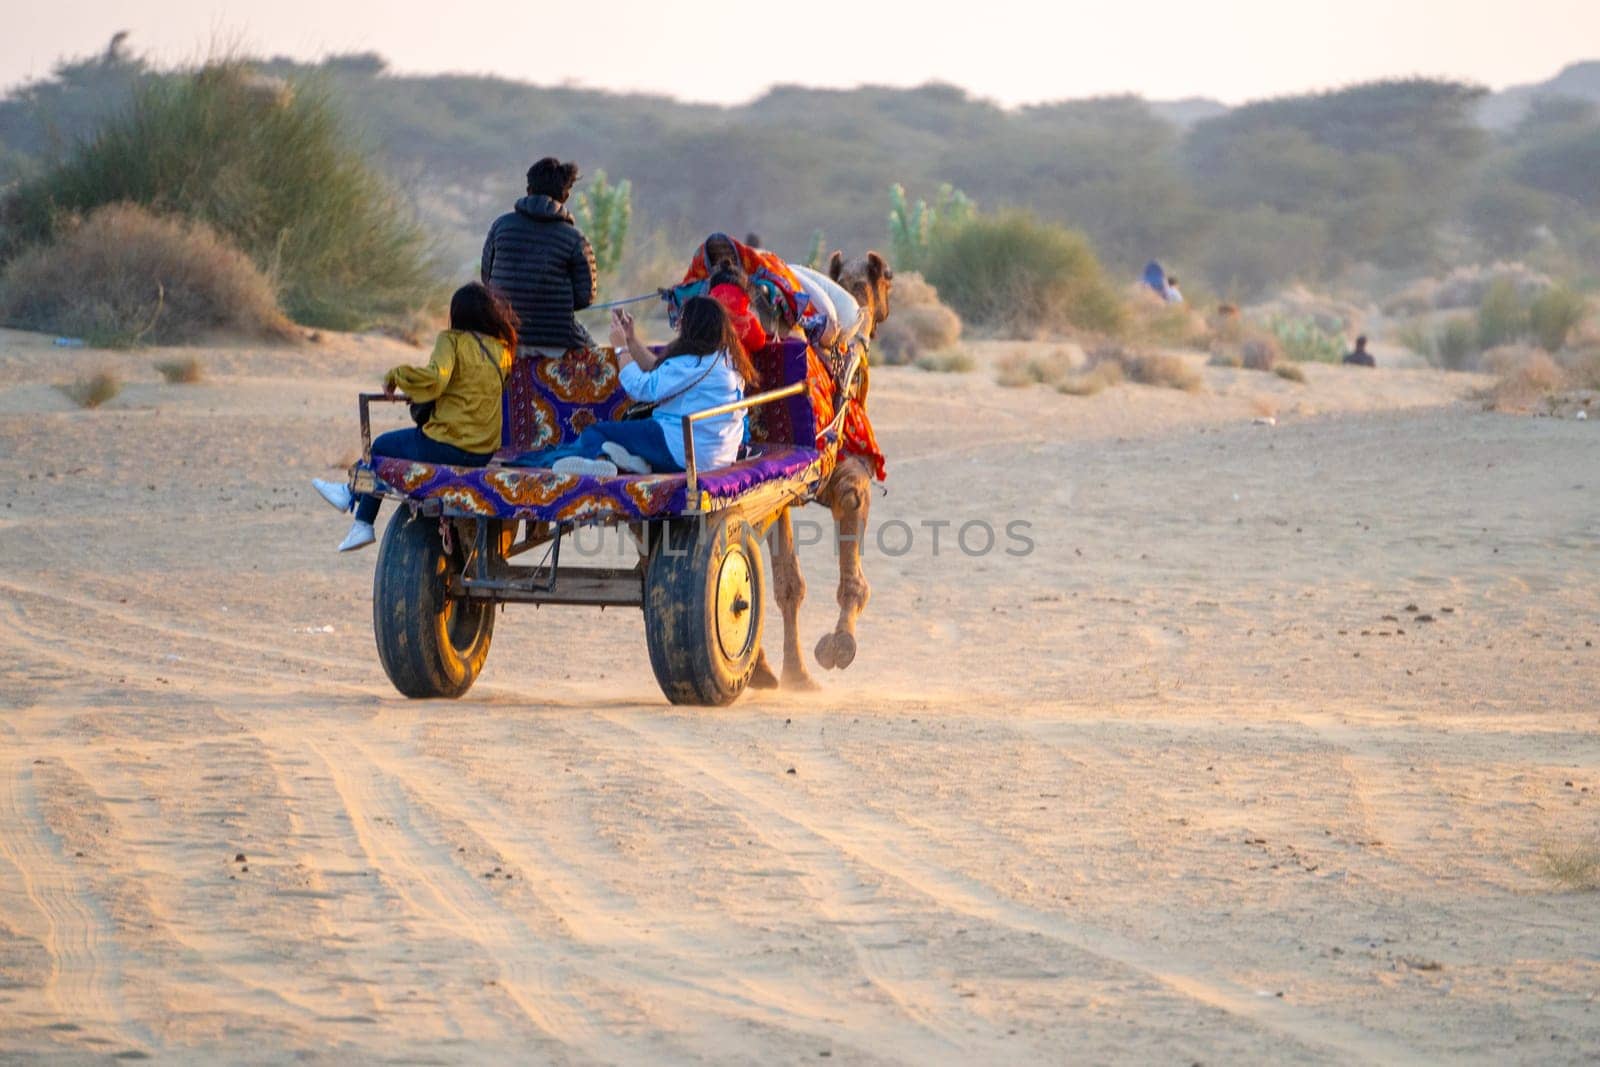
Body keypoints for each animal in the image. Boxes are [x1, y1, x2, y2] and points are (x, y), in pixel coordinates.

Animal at [745, 247, 889, 694]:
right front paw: (837, 647)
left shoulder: (783, 489)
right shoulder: (846, 471)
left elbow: (788, 584)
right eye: (890, 279)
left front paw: (795, 673)